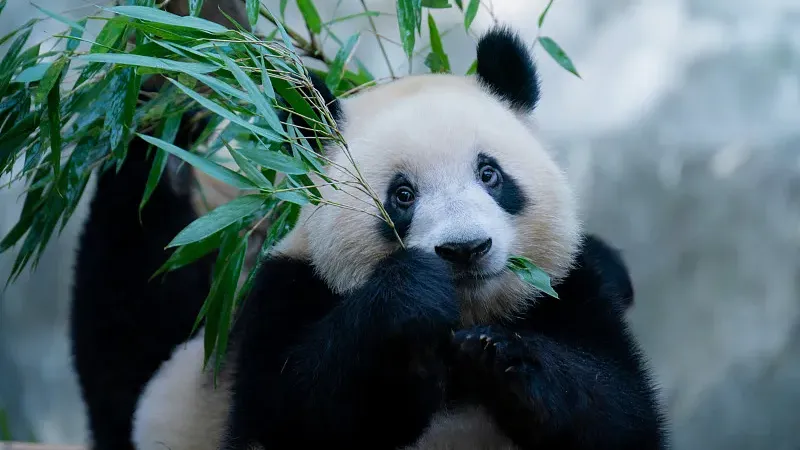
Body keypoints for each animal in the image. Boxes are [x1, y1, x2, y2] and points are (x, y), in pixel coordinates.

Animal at [71, 25, 667, 450]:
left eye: (489, 174)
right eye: (401, 195)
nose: (465, 250)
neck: (467, 313)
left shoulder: (569, 289)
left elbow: (620, 410)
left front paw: (501, 355)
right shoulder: (286, 296)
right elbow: (292, 411)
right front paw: (412, 303)